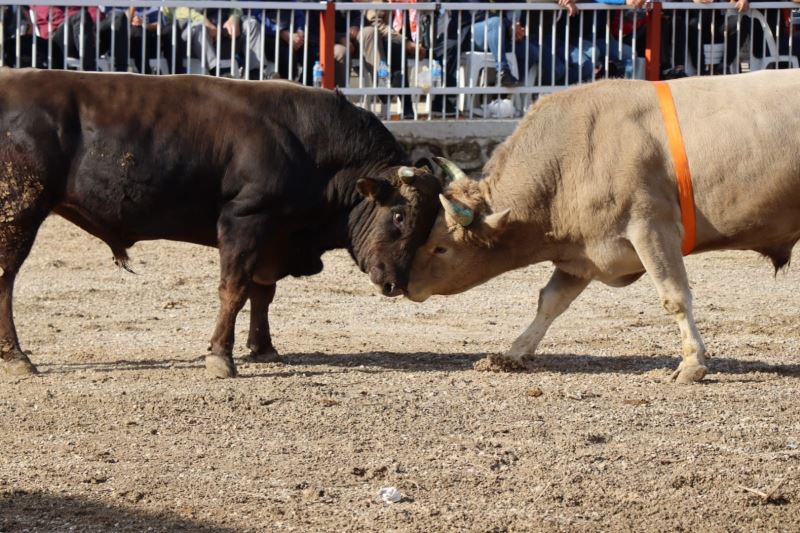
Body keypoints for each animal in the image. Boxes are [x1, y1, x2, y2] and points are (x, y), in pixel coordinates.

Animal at [0, 68, 440, 378]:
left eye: (428, 226)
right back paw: (17, 357)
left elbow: (263, 293)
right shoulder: (244, 220)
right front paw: (220, 357)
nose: (396, 284)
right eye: (398, 215)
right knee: (6, 280)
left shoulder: (274, 236)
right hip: (19, 213)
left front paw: (263, 347)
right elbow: (234, 290)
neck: (311, 147)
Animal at [410, 70, 800, 380]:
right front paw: (513, 353)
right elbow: (549, 302)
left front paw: (692, 363)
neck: (575, 153)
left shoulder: (651, 229)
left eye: (441, 247)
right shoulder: (581, 256)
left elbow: (675, 297)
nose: (404, 285)